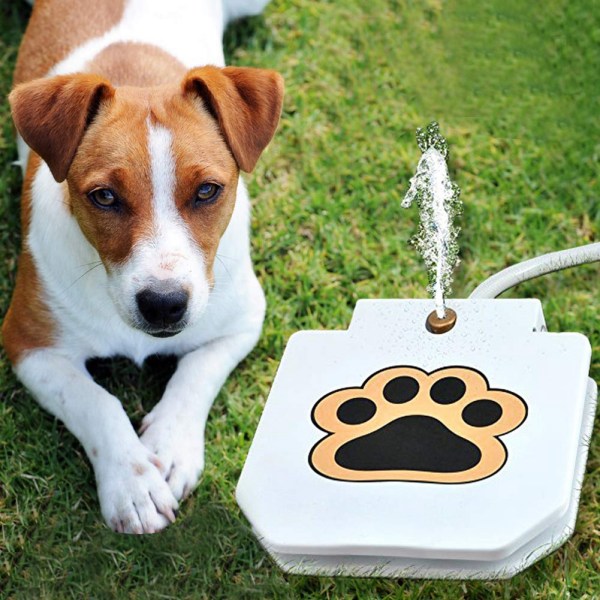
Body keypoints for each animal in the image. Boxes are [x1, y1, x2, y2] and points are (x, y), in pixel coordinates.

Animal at [2, 0, 284, 536]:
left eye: (207, 191)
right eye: (104, 197)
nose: (164, 305)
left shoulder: (242, 322)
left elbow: (195, 375)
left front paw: (169, 449)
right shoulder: (29, 345)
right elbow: (95, 401)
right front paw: (131, 483)